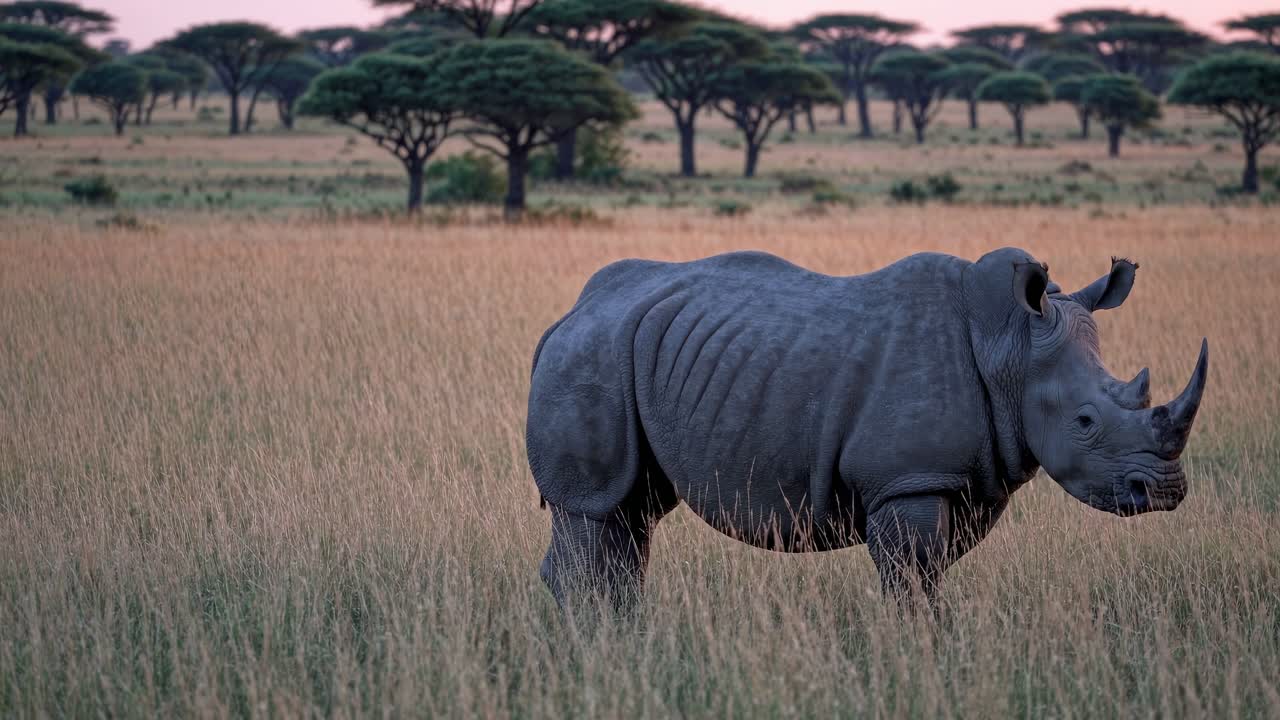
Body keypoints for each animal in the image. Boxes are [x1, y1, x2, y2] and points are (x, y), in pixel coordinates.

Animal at [526, 248, 1208, 604]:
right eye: (1085, 421)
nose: (1165, 492)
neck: (1009, 348)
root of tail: (569, 314)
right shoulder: (908, 479)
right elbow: (913, 579)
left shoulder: (961, 477)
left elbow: (929, 574)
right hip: (590, 357)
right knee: (595, 512)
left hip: (628, 352)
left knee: (628, 515)